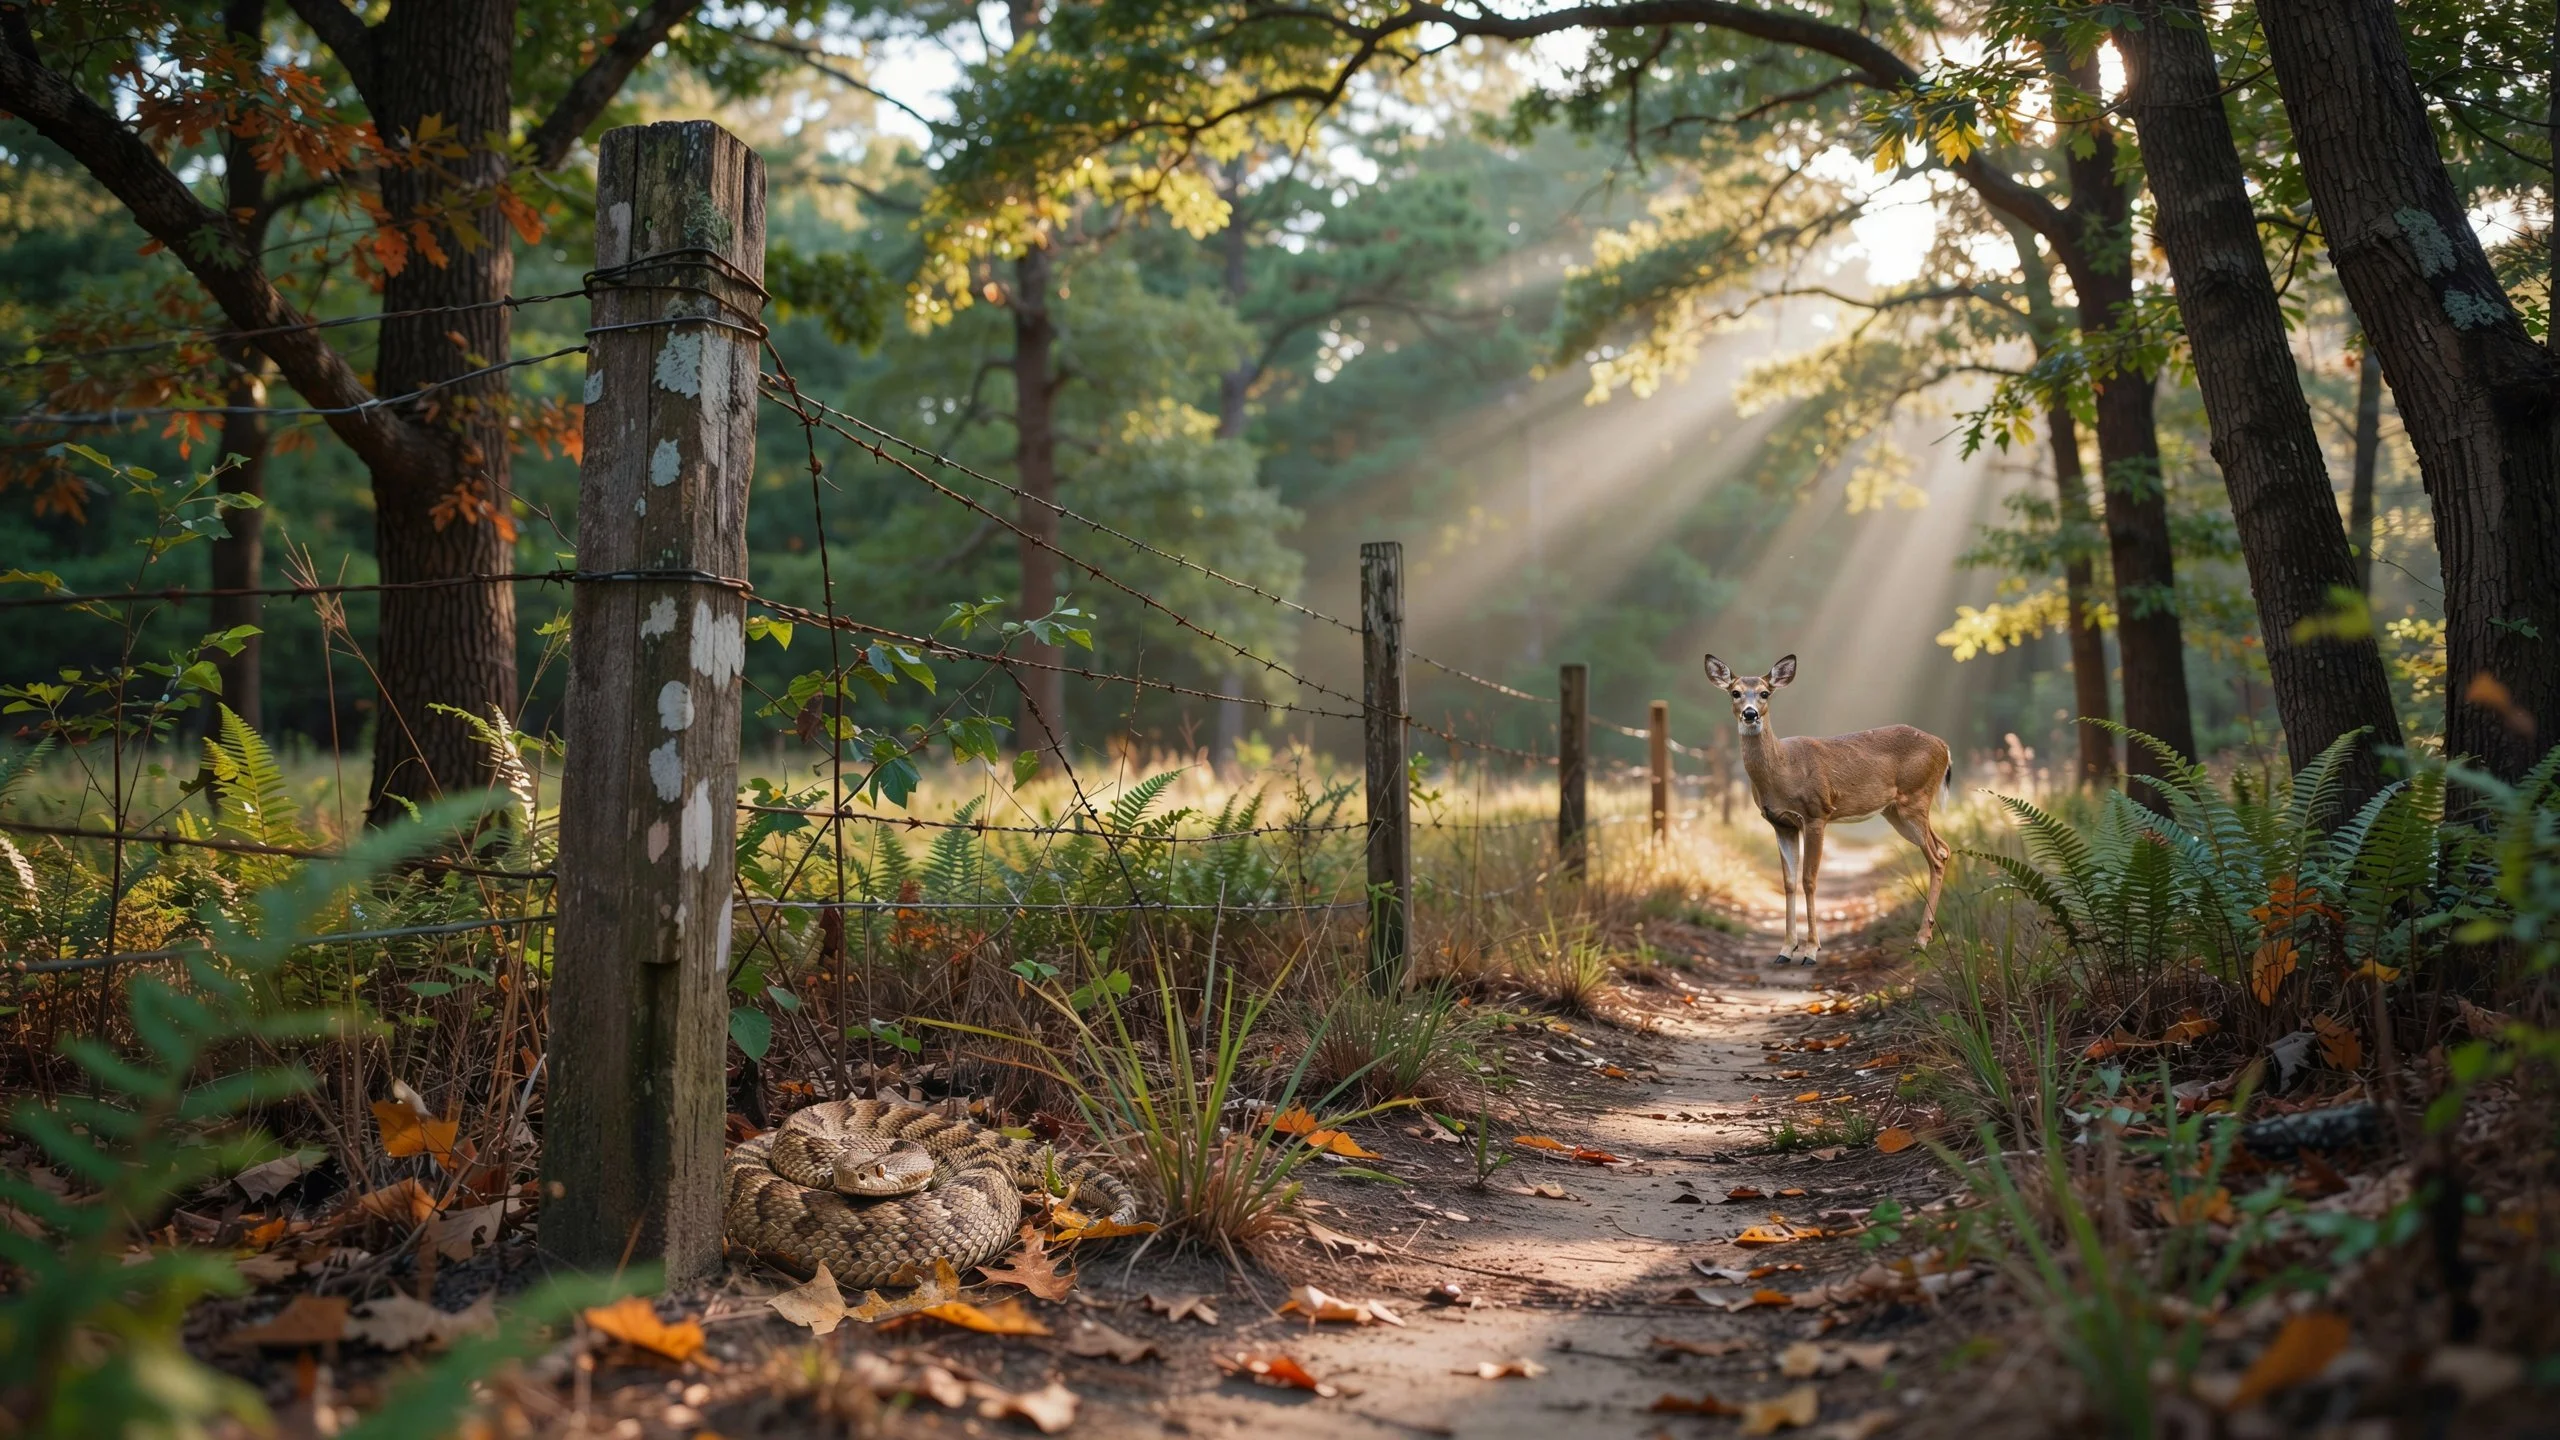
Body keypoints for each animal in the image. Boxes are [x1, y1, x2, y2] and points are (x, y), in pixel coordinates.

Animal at [1704, 654, 1952, 965]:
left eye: (1765, 693)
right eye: (1735, 692)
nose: (1750, 714)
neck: (1783, 770)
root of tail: (1944, 746)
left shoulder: (1816, 814)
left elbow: (1809, 879)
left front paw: (1811, 950)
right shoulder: (1781, 824)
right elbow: (1788, 881)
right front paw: (1785, 950)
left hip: (1915, 798)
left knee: (1936, 858)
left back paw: (1920, 941)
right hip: (1896, 811)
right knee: (1944, 848)